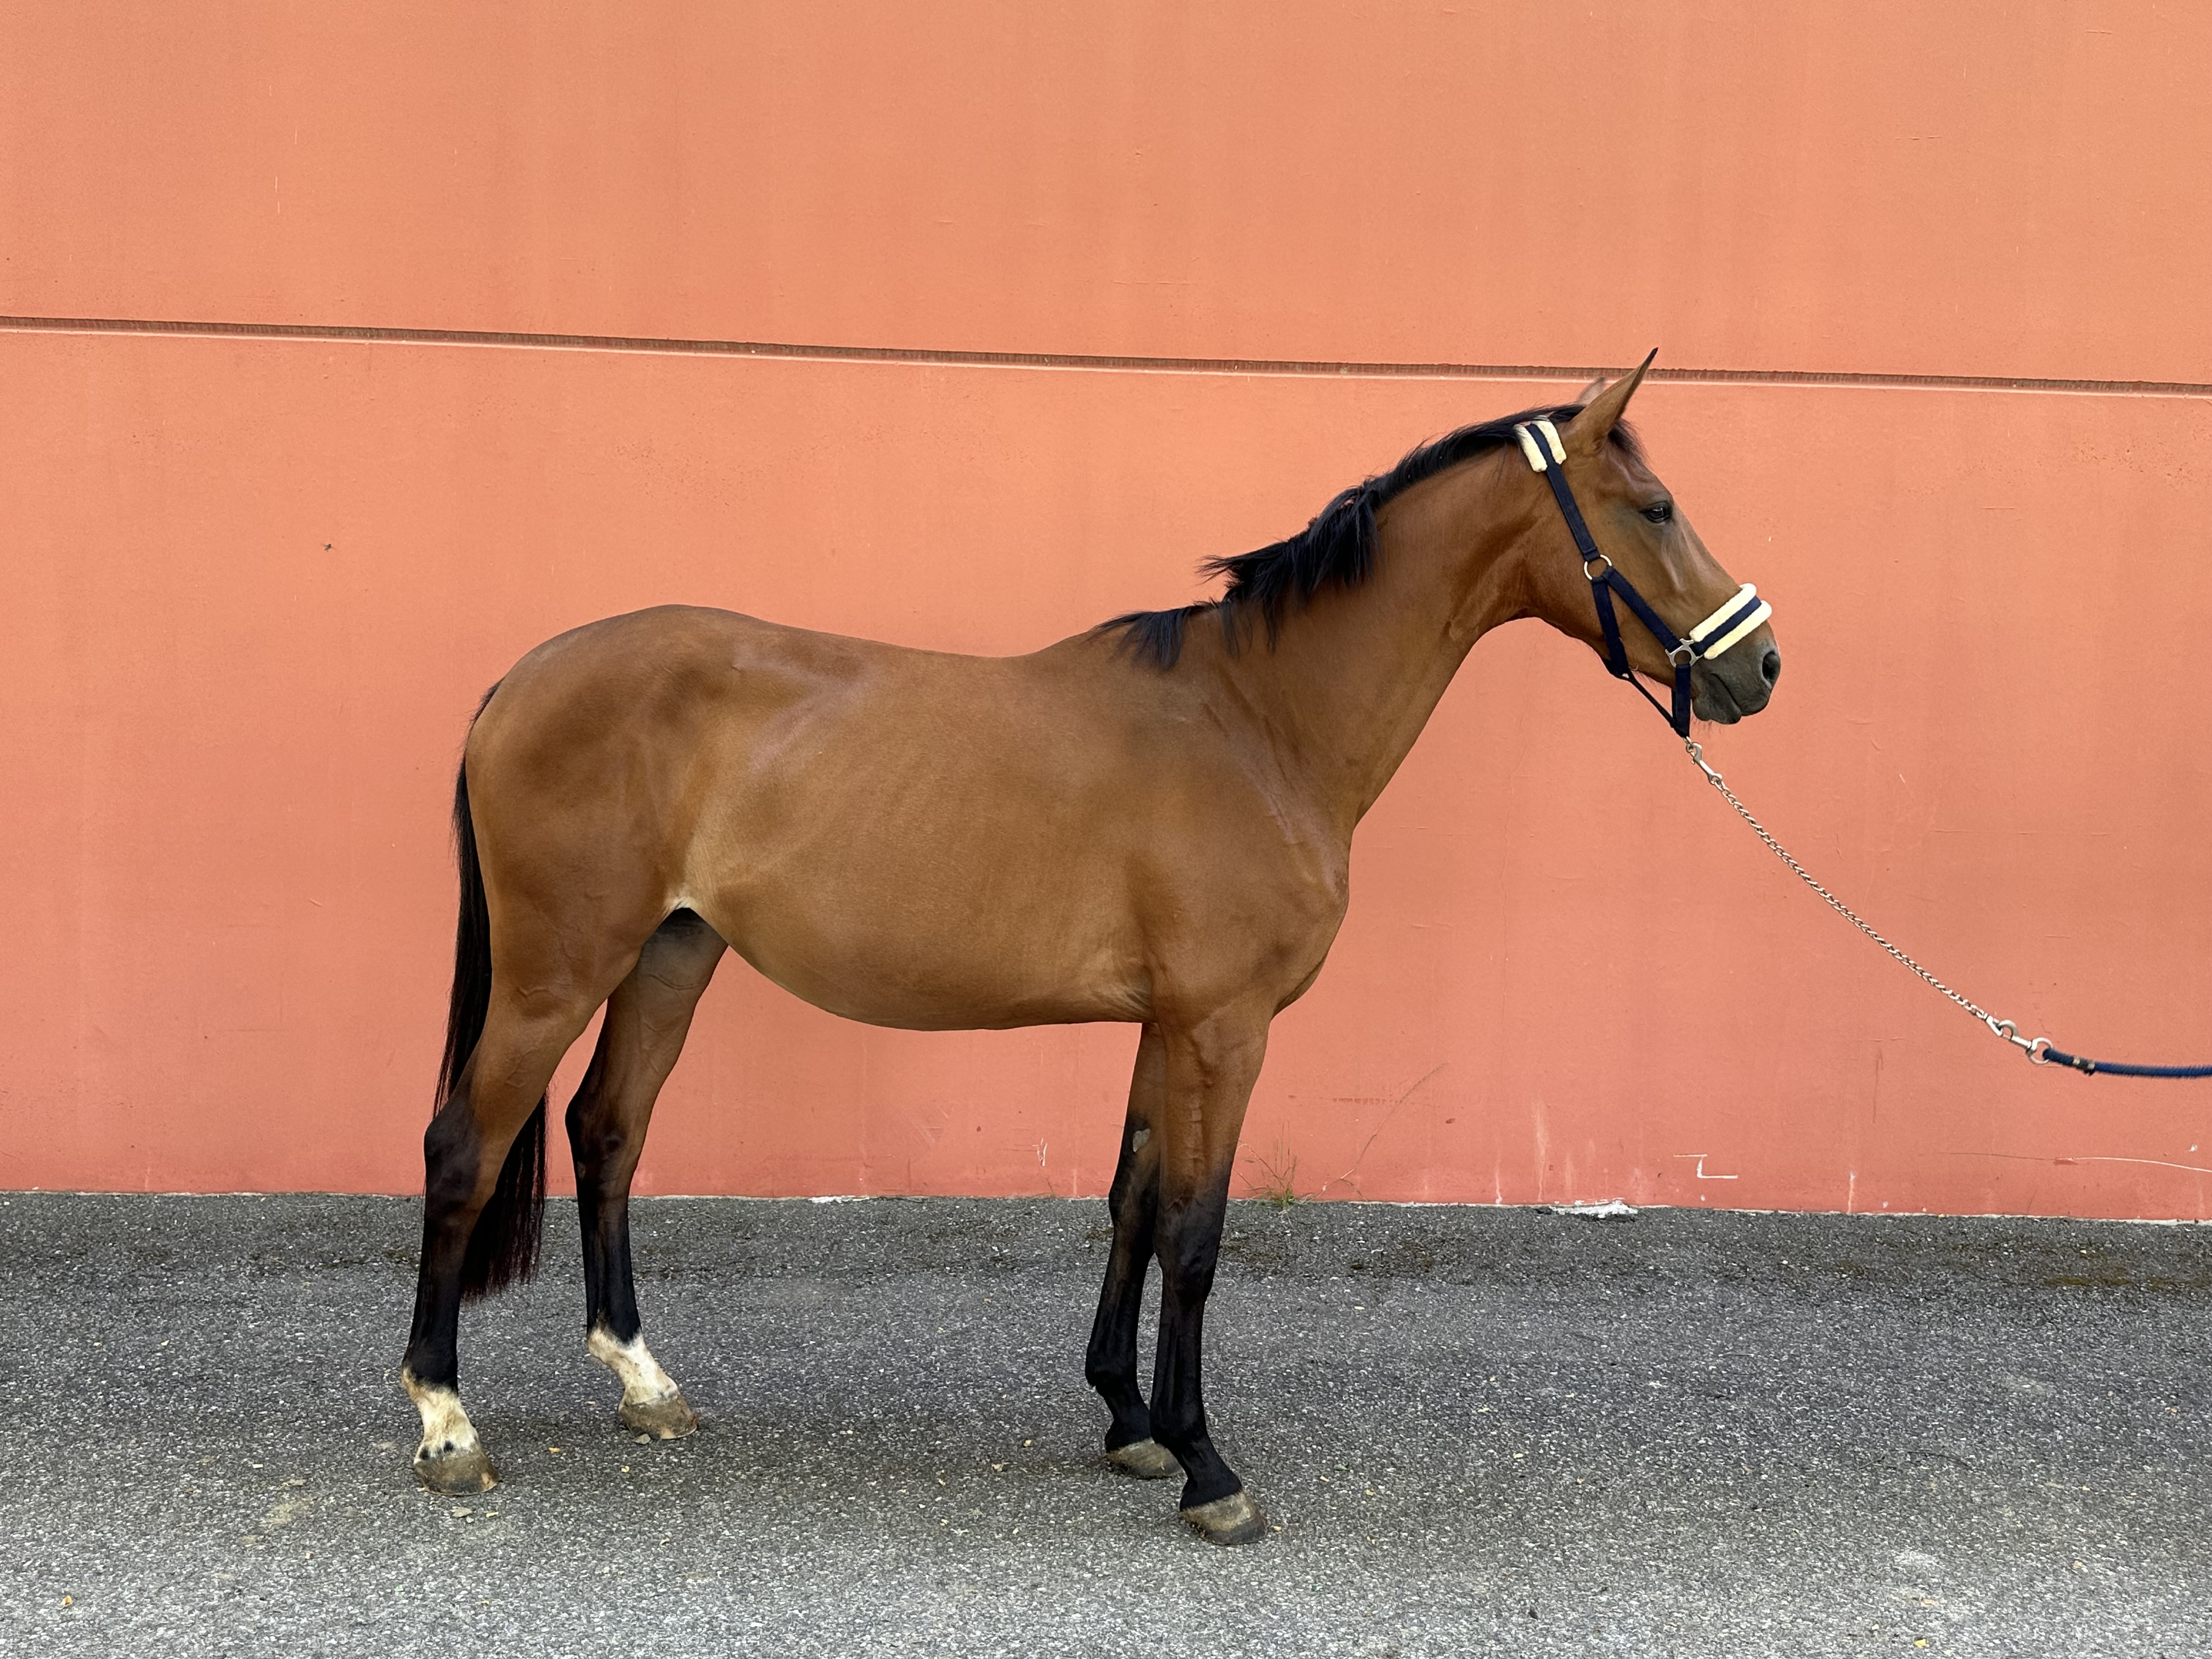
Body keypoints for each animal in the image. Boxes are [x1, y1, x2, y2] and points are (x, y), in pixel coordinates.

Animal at [400, 357, 1780, 1545]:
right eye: (1655, 507)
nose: (1760, 665)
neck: (1258, 724)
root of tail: (519, 682)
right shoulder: (1226, 1027)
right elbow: (1197, 1233)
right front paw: (1210, 1469)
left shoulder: (1168, 1022)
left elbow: (1133, 1202)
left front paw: (1130, 1420)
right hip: (556, 972)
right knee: (466, 1146)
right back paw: (447, 1423)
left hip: (671, 955)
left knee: (607, 1131)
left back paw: (642, 1381)